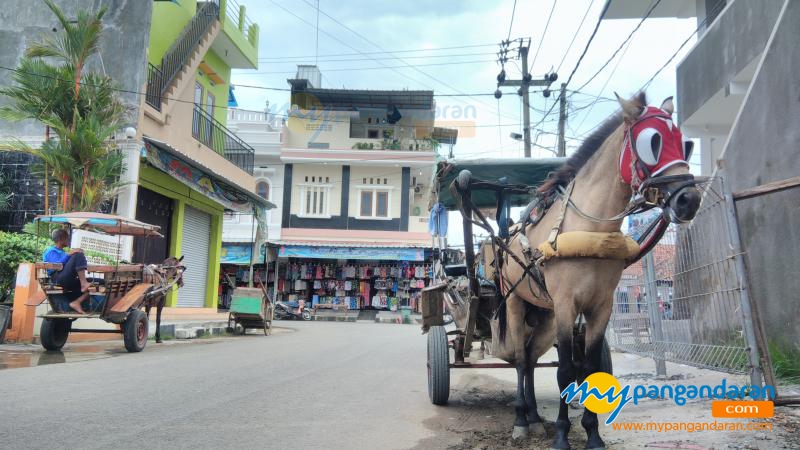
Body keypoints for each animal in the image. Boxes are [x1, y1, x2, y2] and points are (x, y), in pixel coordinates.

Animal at [494, 93, 700, 448]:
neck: (588, 229)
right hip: (517, 303)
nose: (689, 199)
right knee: (520, 359)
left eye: (684, 144)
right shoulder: (566, 305)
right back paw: (521, 419)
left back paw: (534, 417)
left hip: (544, 314)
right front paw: (562, 435)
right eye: (653, 142)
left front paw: (592, 433)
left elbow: (589, 367)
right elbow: (565, 370)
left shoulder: (601, 306)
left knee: (531, 360)